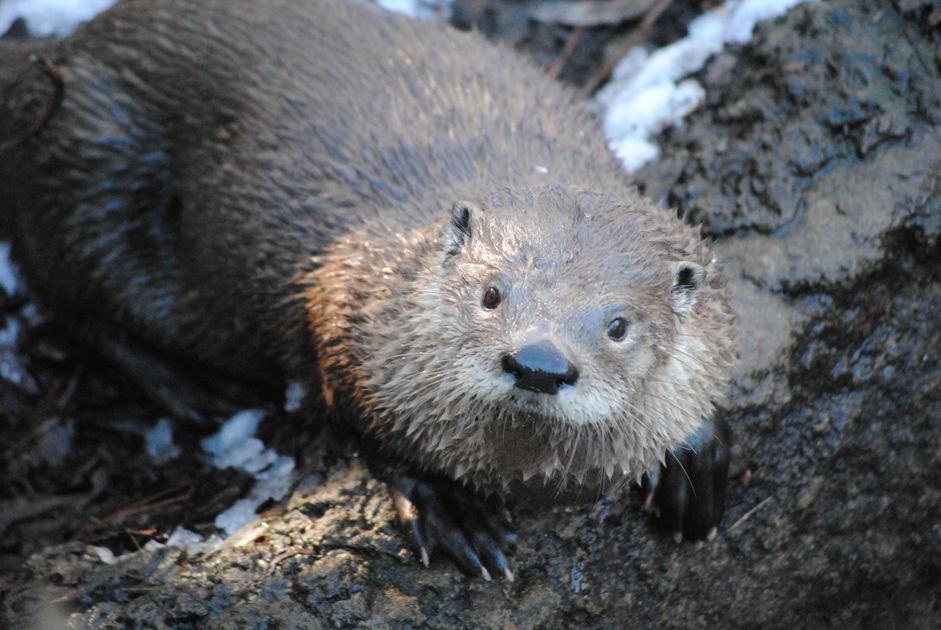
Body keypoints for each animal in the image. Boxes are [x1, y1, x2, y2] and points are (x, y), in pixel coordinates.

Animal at [0, 0, 735, 578]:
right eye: (491, 294)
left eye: (618, 325)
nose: (539, 363)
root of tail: (65, 47)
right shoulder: (348, 311)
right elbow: (358, 419)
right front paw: (449, 508)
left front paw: (693, 458)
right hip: (89, 167)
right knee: (71, 299)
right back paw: (197, 391)